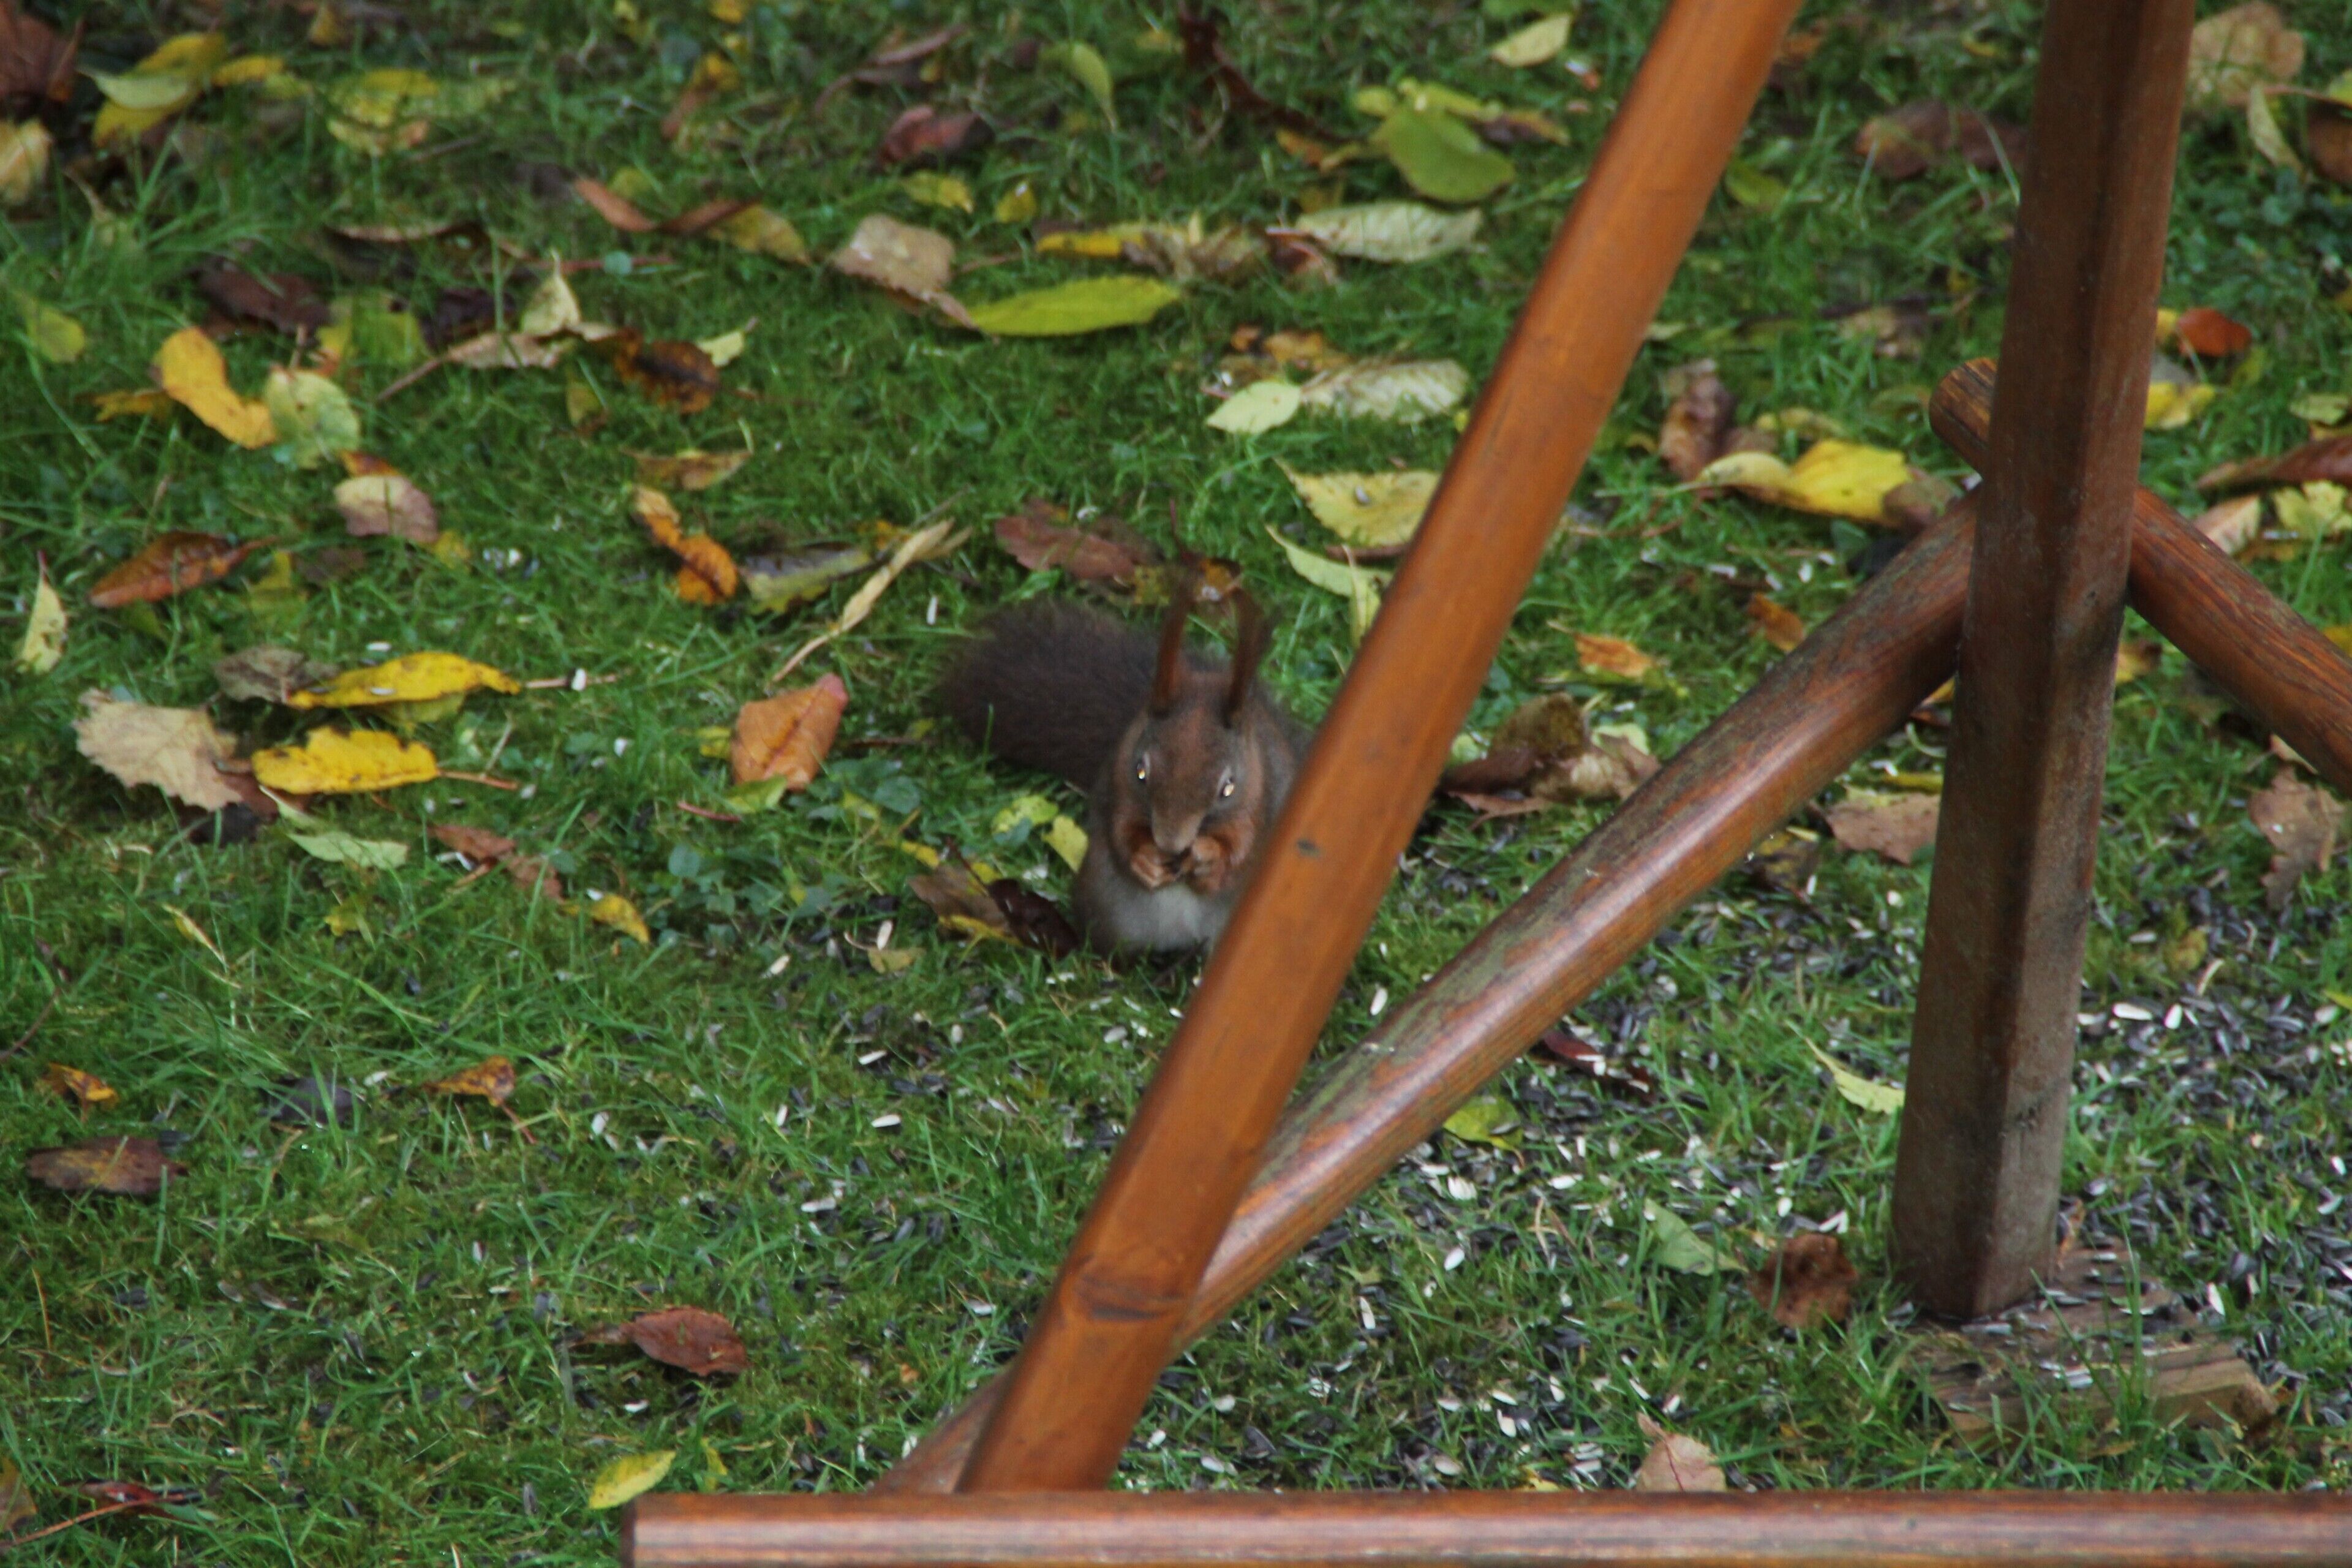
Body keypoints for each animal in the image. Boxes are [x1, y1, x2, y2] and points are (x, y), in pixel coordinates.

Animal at [937, 583, 1307, 953]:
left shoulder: (1262, 801)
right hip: (1107, 908)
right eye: (1141, 771)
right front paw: (1145, 860)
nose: (1170, 844)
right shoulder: (1119, 781)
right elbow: (1122, 829)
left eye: (1228, 788)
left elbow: (1241, 853)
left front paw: (1207, 857)